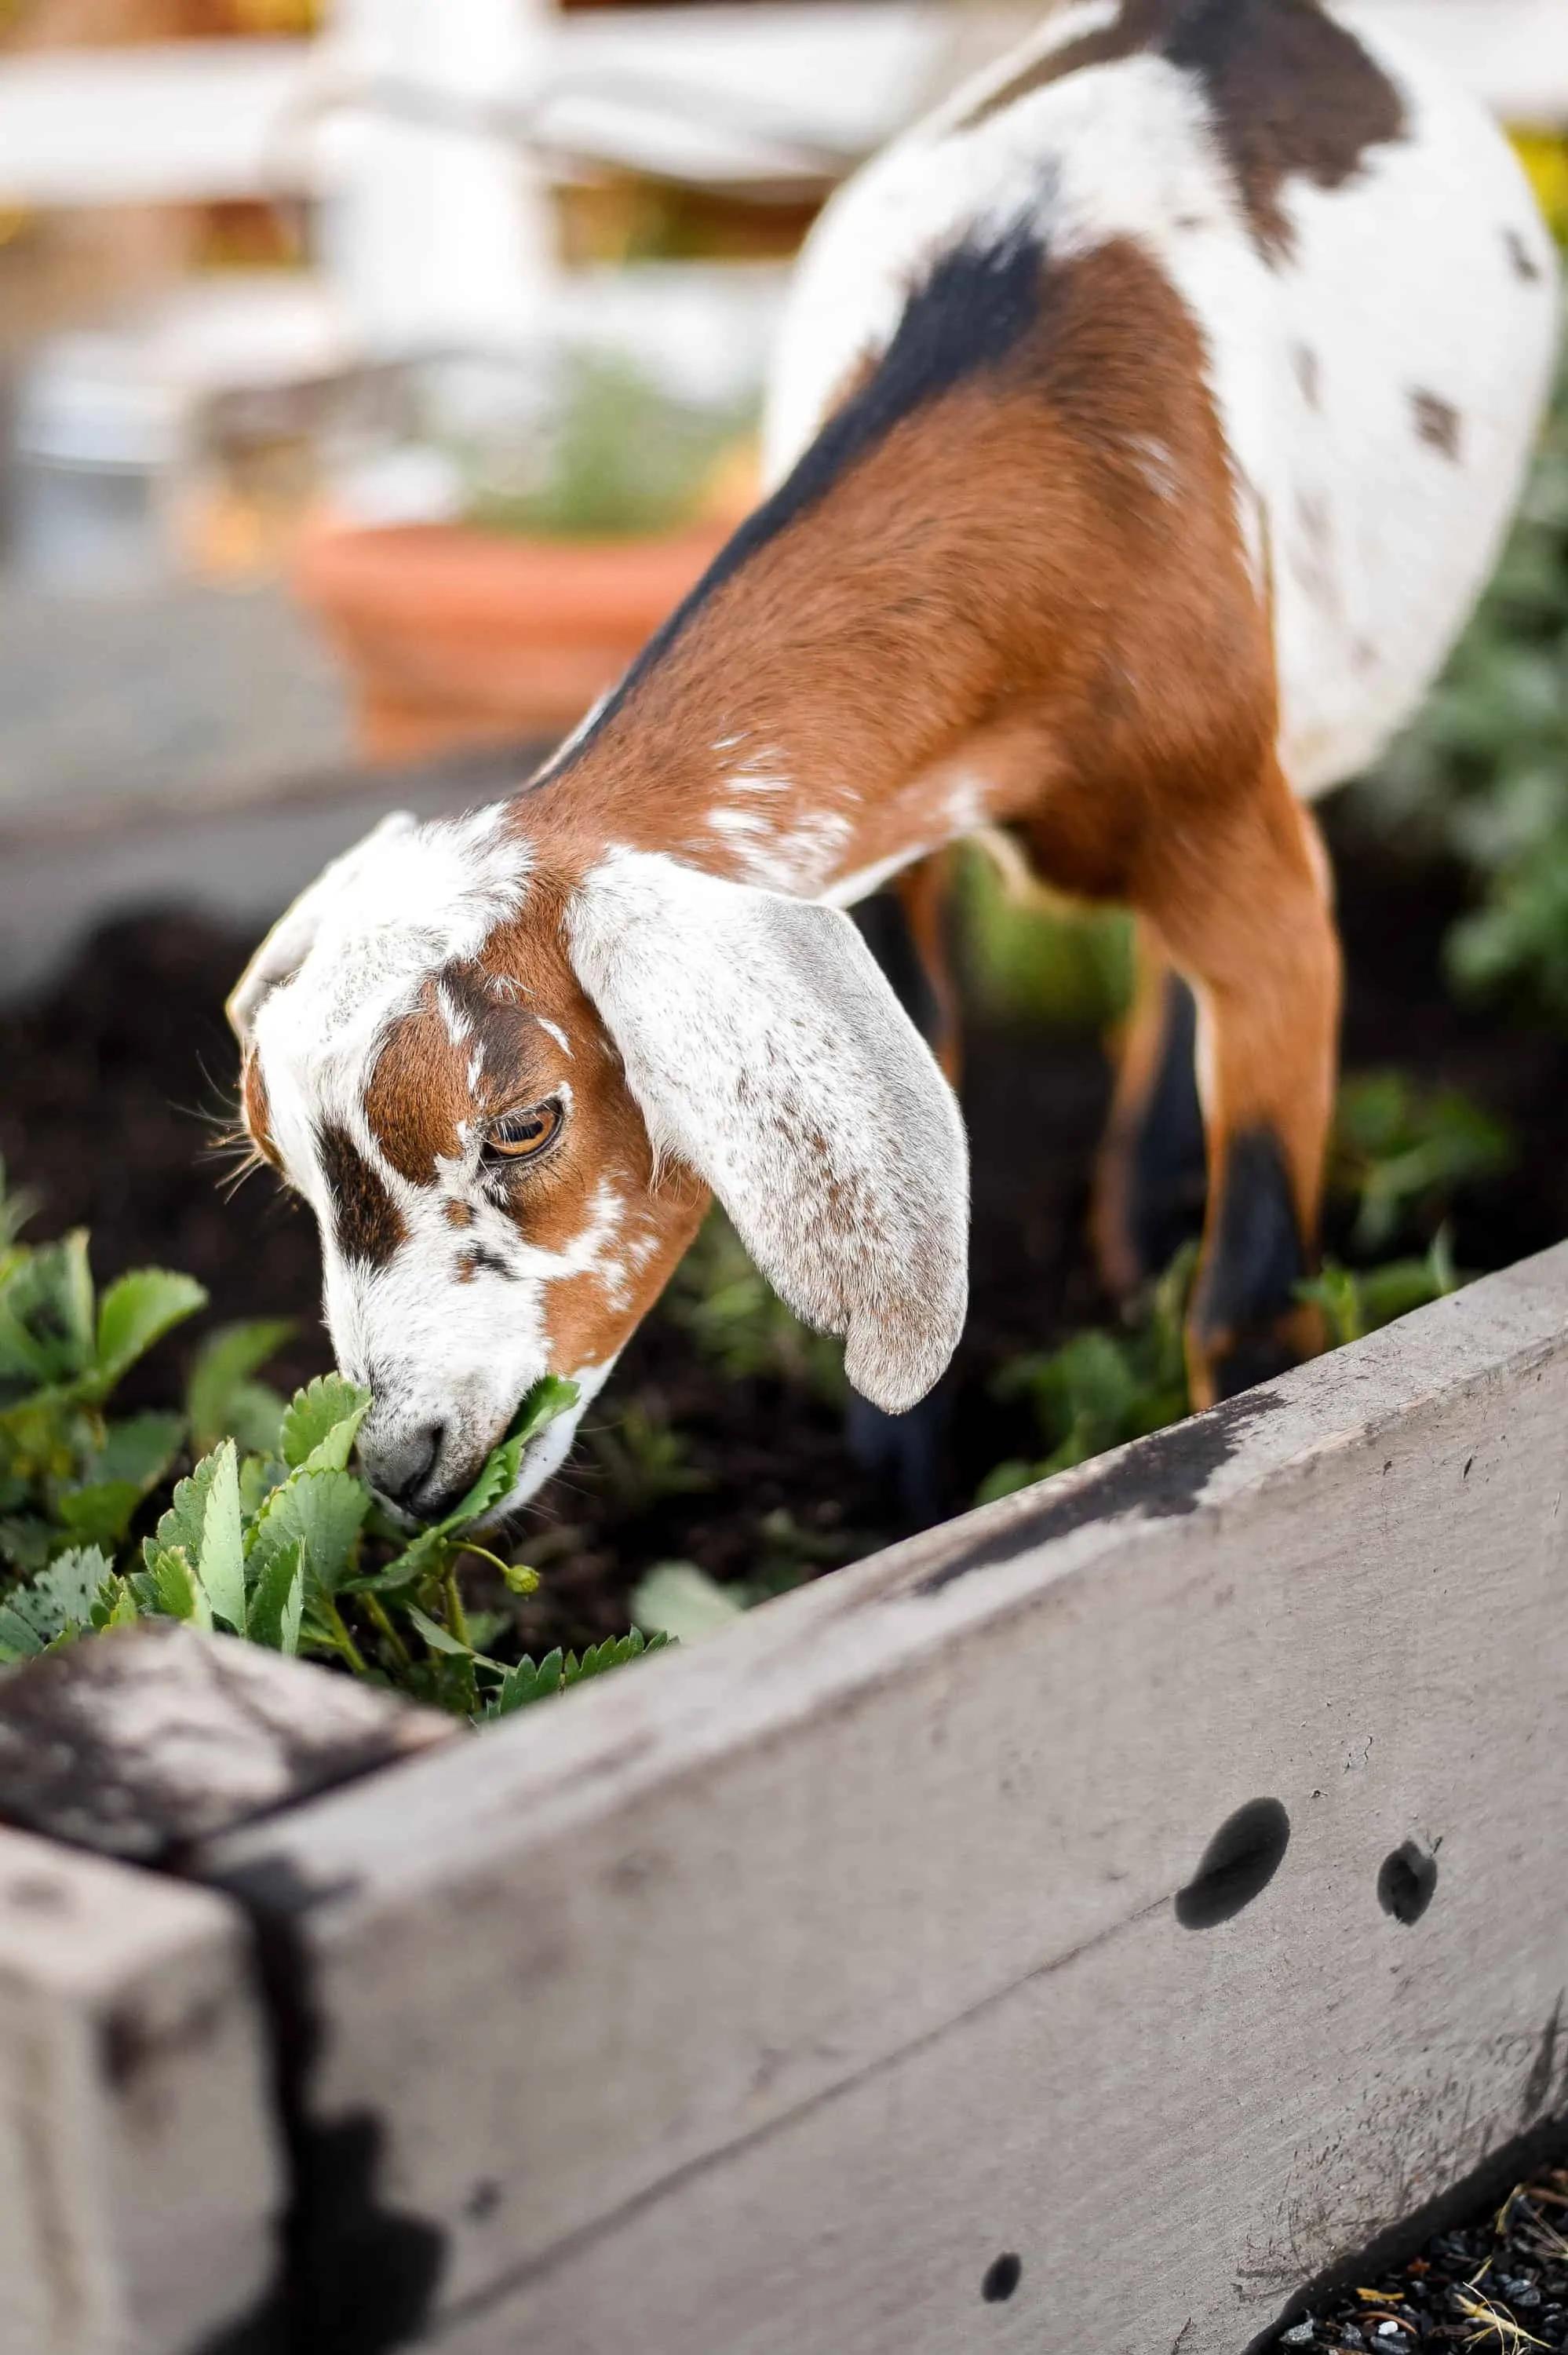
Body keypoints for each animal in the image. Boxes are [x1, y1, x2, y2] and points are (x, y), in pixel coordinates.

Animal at [229, 0, 1554, 1507]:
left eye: (523, 1123)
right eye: (286, 1175)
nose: (399, 1463)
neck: (1066, 486)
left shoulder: (1250, 855)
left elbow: (1244, 1300)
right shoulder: (864, 851)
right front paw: (905, 1485)